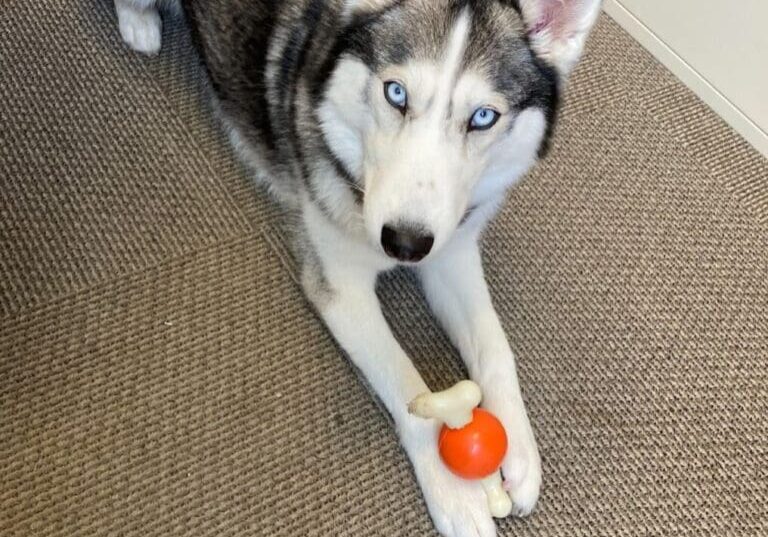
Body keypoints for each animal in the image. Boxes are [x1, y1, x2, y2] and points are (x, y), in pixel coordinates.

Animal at [115, 0, 600, 532]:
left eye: (483, 117)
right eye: (396, 93)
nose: (405, 243)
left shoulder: (451, 251)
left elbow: (494, 346)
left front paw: (520, 449)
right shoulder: (341, 287)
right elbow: (405, 382)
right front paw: (455, 492)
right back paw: (139, 23)